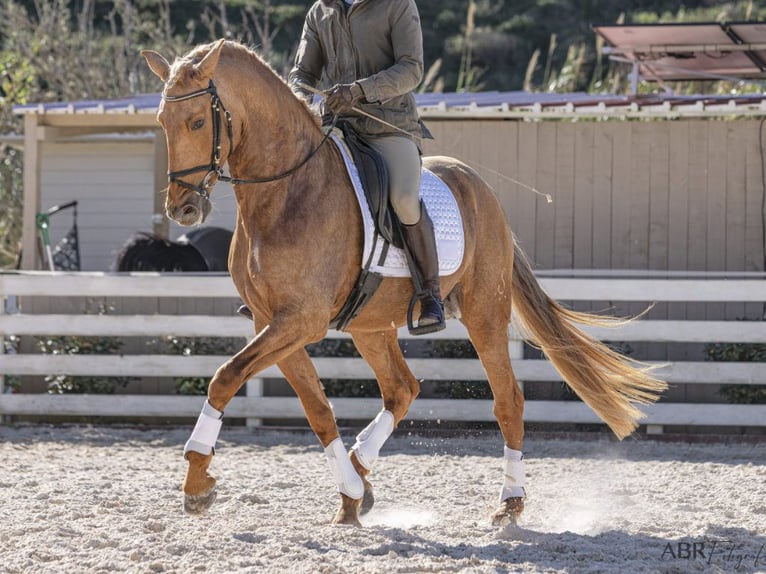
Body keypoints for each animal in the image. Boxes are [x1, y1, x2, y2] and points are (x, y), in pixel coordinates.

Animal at [142, 38, 664, 528]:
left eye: (196, 122)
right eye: (163, 121)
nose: (182, 209)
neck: (287, 192)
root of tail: (481, 190)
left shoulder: (301, 320)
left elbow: (225, 377)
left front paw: (196, 480)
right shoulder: (272, 323)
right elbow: (317, 410)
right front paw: (348, 495)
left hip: (484, 312)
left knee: (507, 399)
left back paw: (509, 504)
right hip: (370, 326)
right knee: (402, 389)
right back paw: (359, 480)